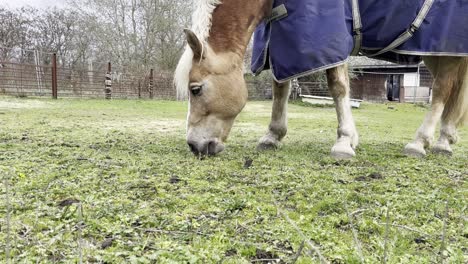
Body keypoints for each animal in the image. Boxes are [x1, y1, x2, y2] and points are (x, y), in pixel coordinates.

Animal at [175, 0, 468, 158]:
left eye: (196, 89)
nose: (193, 145)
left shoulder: (328, 37)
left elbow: (338, 86)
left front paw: (344, 142)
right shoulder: (280, 37)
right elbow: (280, 86)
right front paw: (272, 136)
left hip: (445, 48)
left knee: (442, 90)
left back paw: (421, 142)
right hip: (434, 51)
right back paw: (445, 140)